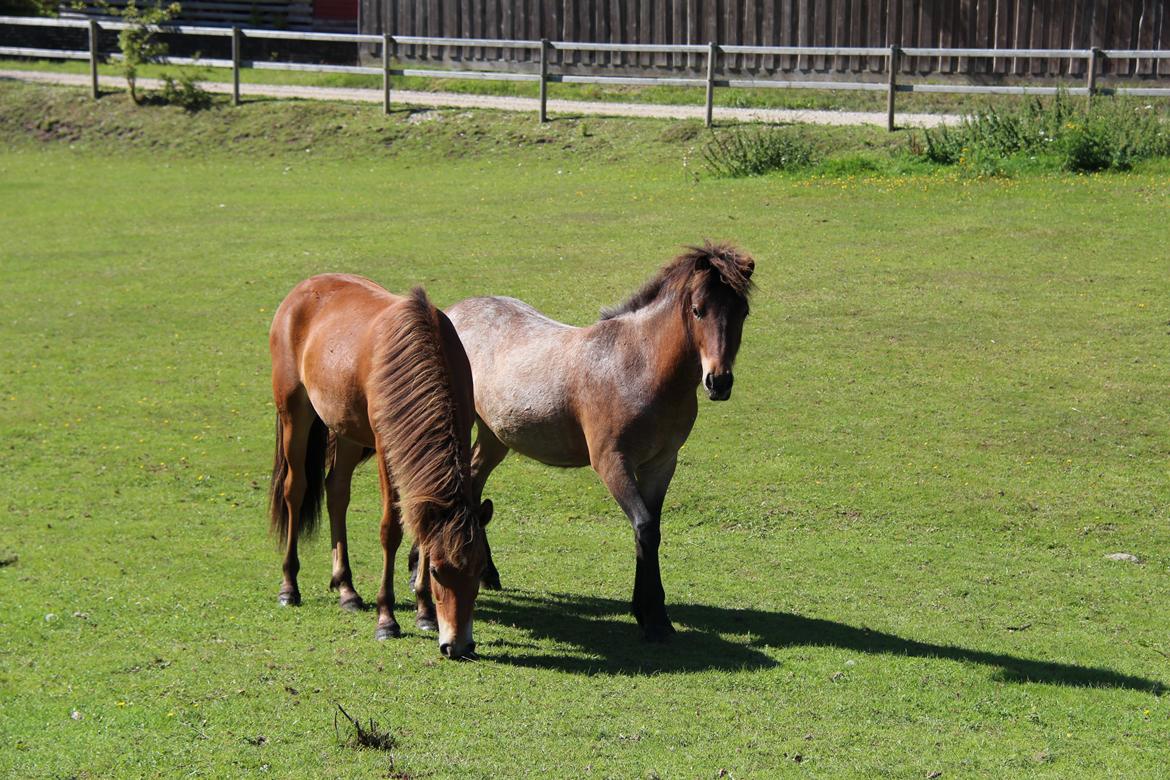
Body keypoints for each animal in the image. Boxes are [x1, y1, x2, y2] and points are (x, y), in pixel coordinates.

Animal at [267, 274, 491, 659]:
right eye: (437, 571)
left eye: (478, 571)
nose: (459, 646)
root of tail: (303, 289)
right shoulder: (387, 449)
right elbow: (391, 529)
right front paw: (387, 618)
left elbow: (419, 527)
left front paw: (424, 612)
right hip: (295, 413)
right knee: (294, 490)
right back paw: (289, 586)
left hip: (346, 428)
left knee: (336, 491)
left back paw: (347, 589)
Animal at [439, 242, 758, 640]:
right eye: (698, 310)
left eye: (742, 312)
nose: (719, 381)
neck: (638, 368)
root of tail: (451, 313)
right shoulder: (611, 462)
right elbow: (644, 526)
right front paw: (654, 617)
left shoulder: (661, 464)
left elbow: (650, 528)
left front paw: (649, 611)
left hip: (495, 435)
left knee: (474, 481)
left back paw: (487, 573)